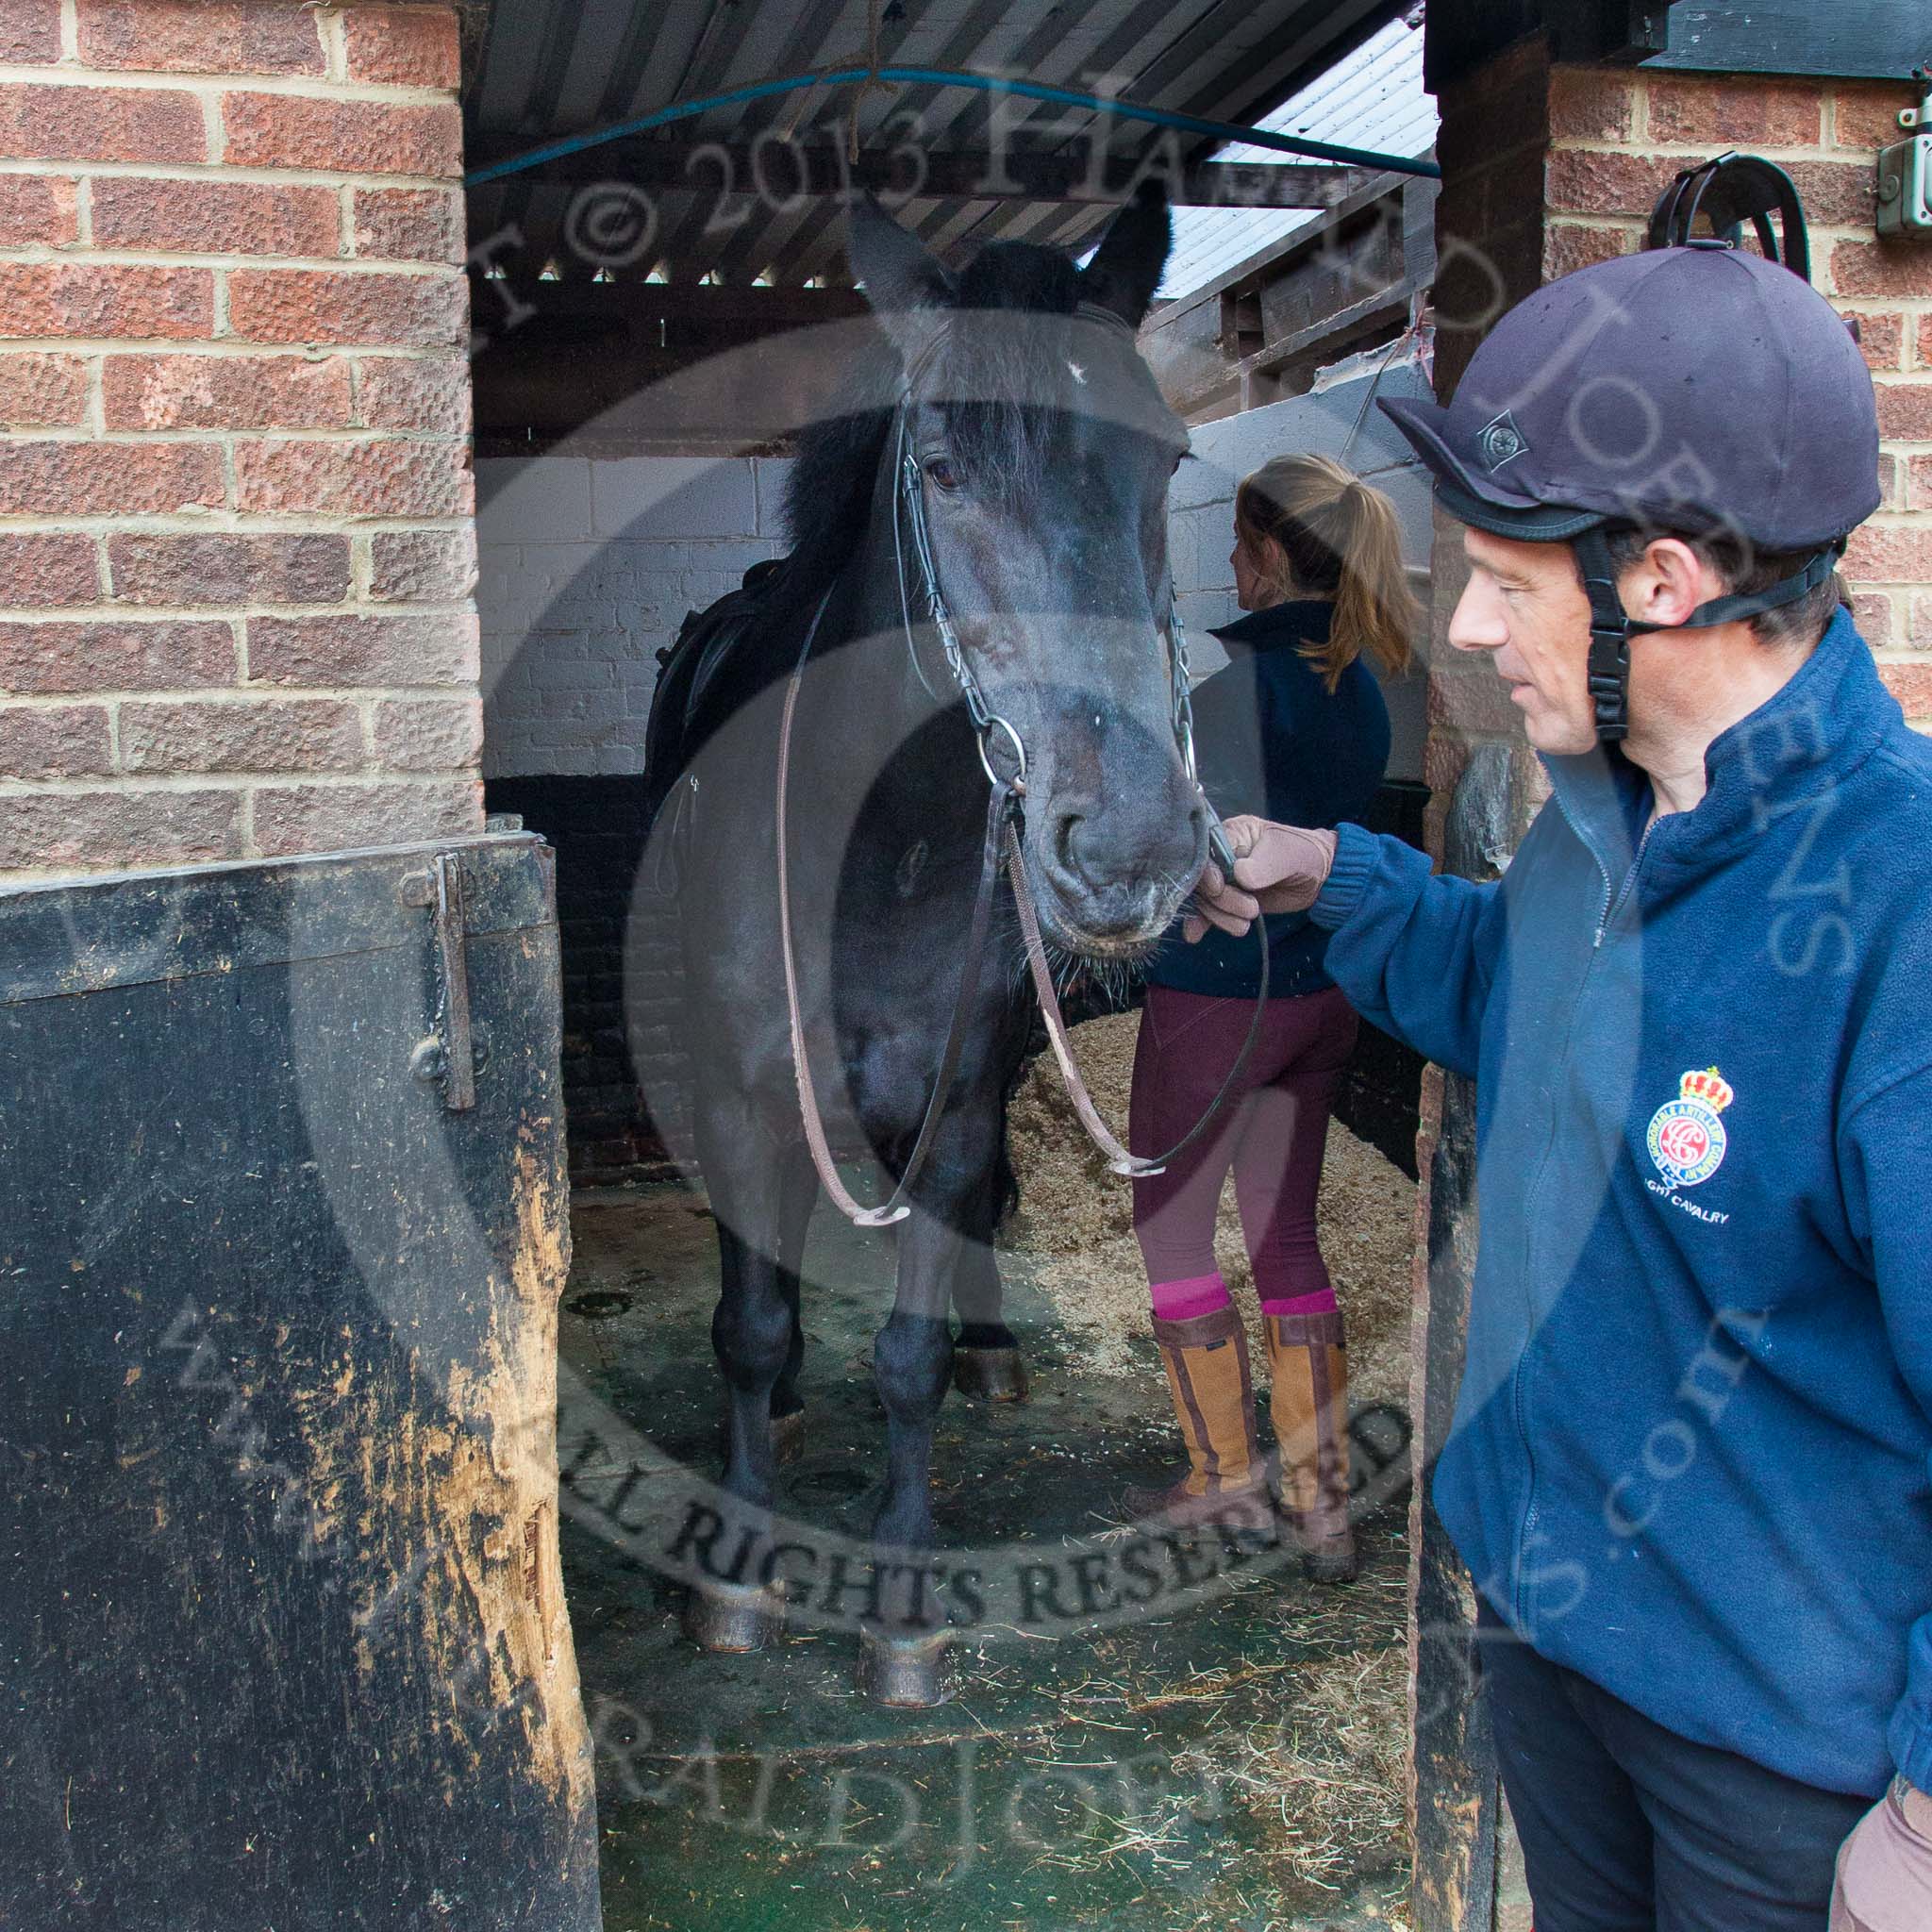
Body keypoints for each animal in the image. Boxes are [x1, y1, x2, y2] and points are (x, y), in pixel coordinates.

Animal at [641, 177, 1197, 1692]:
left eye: (1170, 461)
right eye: (942, 466)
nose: (1129, 847)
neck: (879, 844)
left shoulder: (954, 1096)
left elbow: (907, 1346)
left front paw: (899, 1585)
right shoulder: (743, 1092)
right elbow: (749, 1322)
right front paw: (738, 1562)